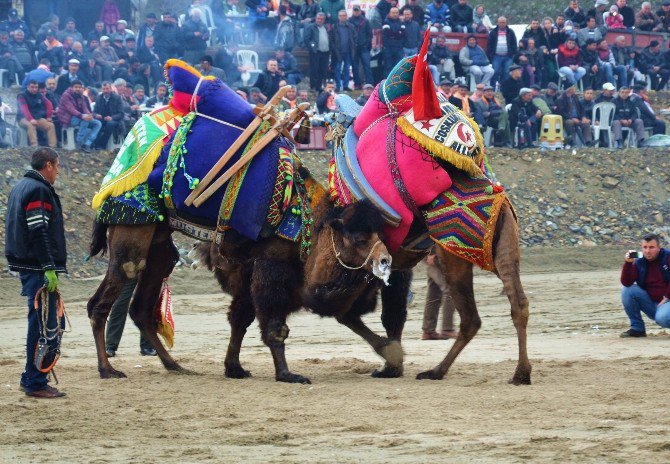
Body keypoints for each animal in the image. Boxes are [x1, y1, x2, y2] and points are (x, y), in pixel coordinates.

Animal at [302, 199, 532, 384]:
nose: (382, 258)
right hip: (505, 246)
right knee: (518, 304)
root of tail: (500, 204)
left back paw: (435, 372)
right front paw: (392, 365)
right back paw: (521, 374)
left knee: (471, 317)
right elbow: (390, 314)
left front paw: (391, 361)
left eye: (361, 239)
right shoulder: (392, 271)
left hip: (454, 257)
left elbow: (344, 312)